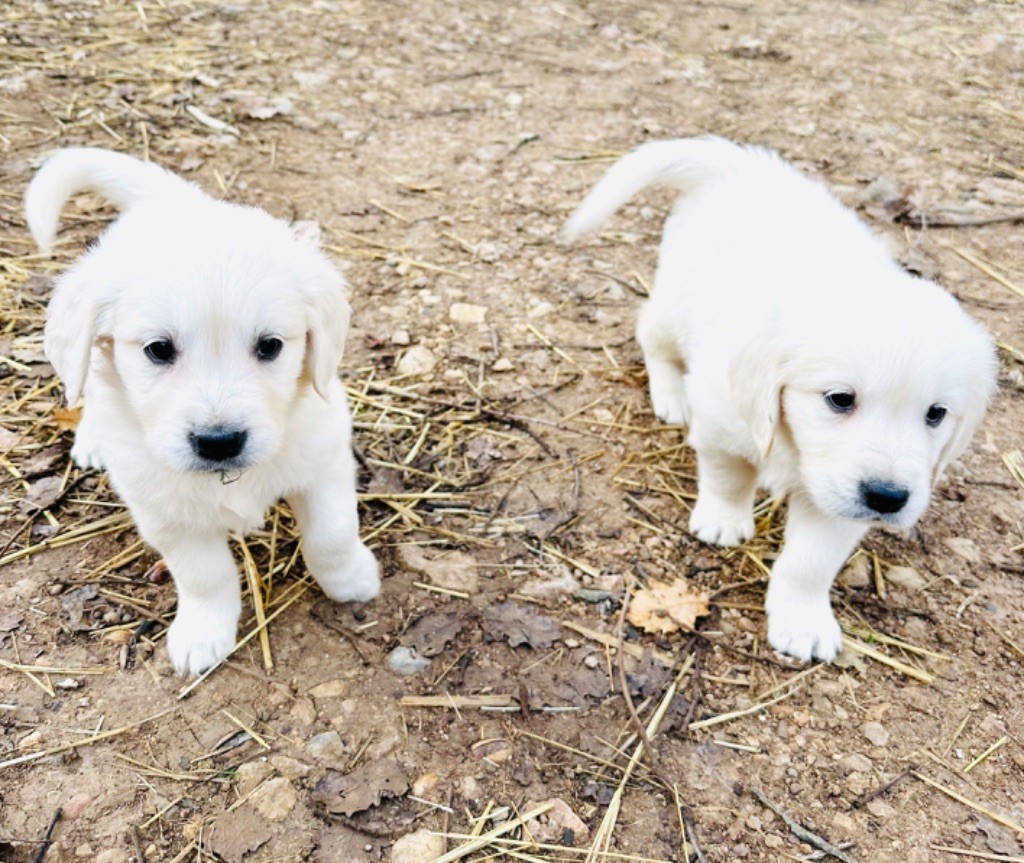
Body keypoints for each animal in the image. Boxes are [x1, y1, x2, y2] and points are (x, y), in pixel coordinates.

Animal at [27, 148, 380, 675]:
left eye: (271, 346)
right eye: (158, 349)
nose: (219, 442)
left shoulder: (325, 460)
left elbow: (333, 533)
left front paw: (351, 579)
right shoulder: (163, 510)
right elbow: (204, 574)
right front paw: (202, 634)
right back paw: (91, 439)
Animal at [565, 137, 995, 663]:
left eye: (936, 414)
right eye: (839, 399)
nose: (888, 498)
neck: (793, 448)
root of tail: (737, 162)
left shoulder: (839, 504)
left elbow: (810, 562)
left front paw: (802, 619)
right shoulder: (722, 426)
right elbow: (729, 477)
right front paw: (723, 520)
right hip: (673, 303)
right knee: (650, 330)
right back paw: (669, 393)